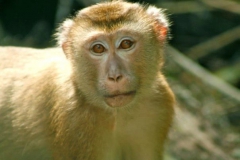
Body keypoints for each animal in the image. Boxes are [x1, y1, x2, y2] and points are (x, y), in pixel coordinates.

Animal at [0, 0, 174, 159]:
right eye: (98, 48)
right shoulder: (72, 115)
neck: (117, 113)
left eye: (126, 44)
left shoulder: (158, 102)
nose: (114, 76)